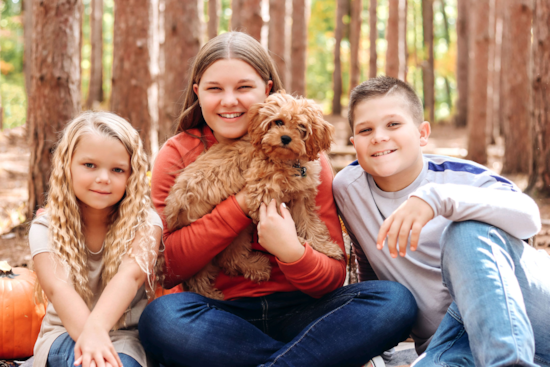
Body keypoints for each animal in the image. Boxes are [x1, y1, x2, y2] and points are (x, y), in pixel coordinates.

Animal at [164, 90, 344, 300]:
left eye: (301, 127)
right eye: (278, 122)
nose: (285, 138)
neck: (285, 161)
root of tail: (172, 212)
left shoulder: (301, 198)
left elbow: (312, 226)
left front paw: (325, 248)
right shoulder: (262, 194)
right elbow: (286, 230)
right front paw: (297, 245)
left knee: (229, 259)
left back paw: (255, 268)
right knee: (208, 270)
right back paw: (215, 293)